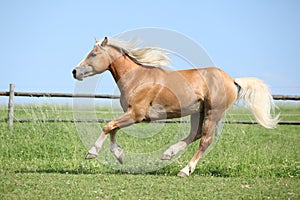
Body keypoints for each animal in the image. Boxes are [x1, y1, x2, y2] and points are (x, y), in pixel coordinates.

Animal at [72, 36, 278, 177]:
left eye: (94, 54)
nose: (74, 71)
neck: (138, 78)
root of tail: (232, 80)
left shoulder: (136, 114)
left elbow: (108, 126)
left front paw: (92, 153)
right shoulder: (130, 114)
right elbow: (113, 128)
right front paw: (119, 155)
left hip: (213, 112)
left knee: (205, 141)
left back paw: (185, 170)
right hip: (198, 113)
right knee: (195, 135)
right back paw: (168, 154)